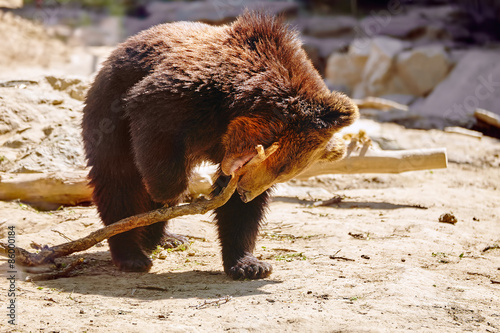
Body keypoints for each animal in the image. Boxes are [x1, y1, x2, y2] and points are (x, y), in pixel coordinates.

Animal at [82, 11, 358, 278]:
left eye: (283, 173)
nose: (246, 193)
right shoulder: (187, 94)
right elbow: (154, 121)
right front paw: (169, 192)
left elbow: (239, 213)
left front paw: (249, 265)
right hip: (108, 110)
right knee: (119, 180)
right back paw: (132, 255)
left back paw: (166, 238)